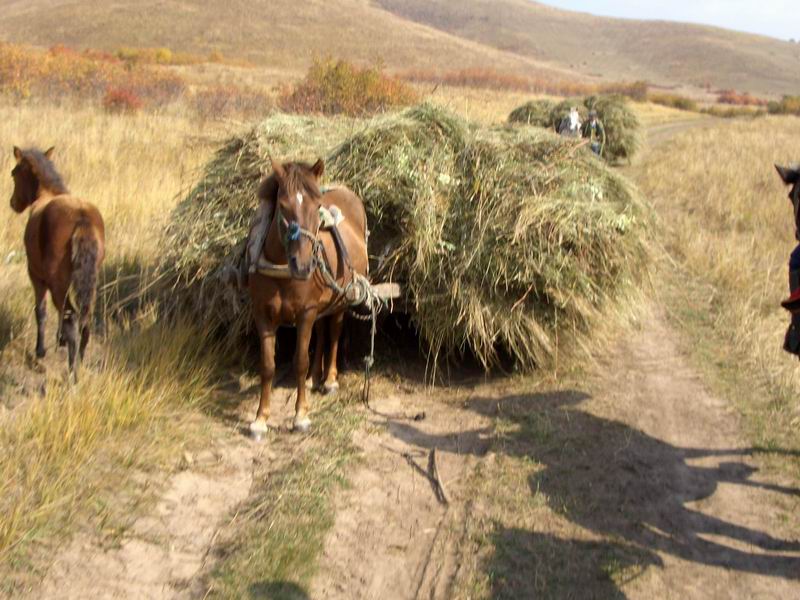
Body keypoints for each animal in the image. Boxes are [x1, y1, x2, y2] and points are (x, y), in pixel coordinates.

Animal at [9, 146, 105, 381]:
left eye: (14, 173)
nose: (13, 203)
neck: (47, 194)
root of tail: (82, 218)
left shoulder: (36, 276)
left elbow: (41, 311)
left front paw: (40, 350)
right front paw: (58, 339)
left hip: (57, 284)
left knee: (71, 319)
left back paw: (72, 373)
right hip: (89, 283)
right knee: (85, 321)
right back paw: (80, 362)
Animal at [248, 158, 368, 436]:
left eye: (317, 207)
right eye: (282, 205)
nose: (303, 266)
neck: (282, 269)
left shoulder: (305, 313)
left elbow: (300, 361)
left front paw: (300, 416)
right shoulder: (262, 314)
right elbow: (267, 365)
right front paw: (260, 418)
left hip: (340, 301)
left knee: (333, 333)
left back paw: (330, 379)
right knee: (322, 333)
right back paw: (315, 377)